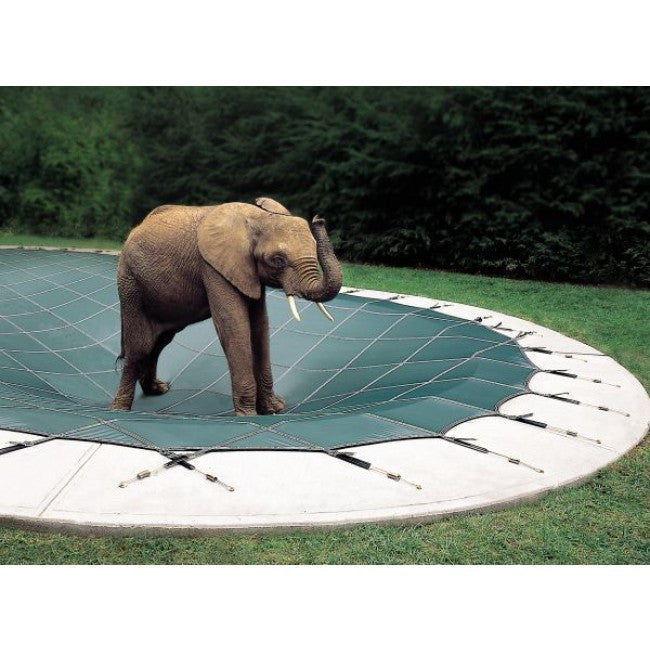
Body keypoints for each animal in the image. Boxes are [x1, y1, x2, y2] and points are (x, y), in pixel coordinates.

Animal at [110, 197, 343, 416]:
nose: (319, 219)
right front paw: (248, 415)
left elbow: (260, 327)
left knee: (159, 341)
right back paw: (119, 409)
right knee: (139, 346)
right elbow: (235, 326)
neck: (258, 218)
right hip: (130, 284)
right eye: (278, 260)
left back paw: (158, 390)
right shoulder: (213, 267)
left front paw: (273, 409)